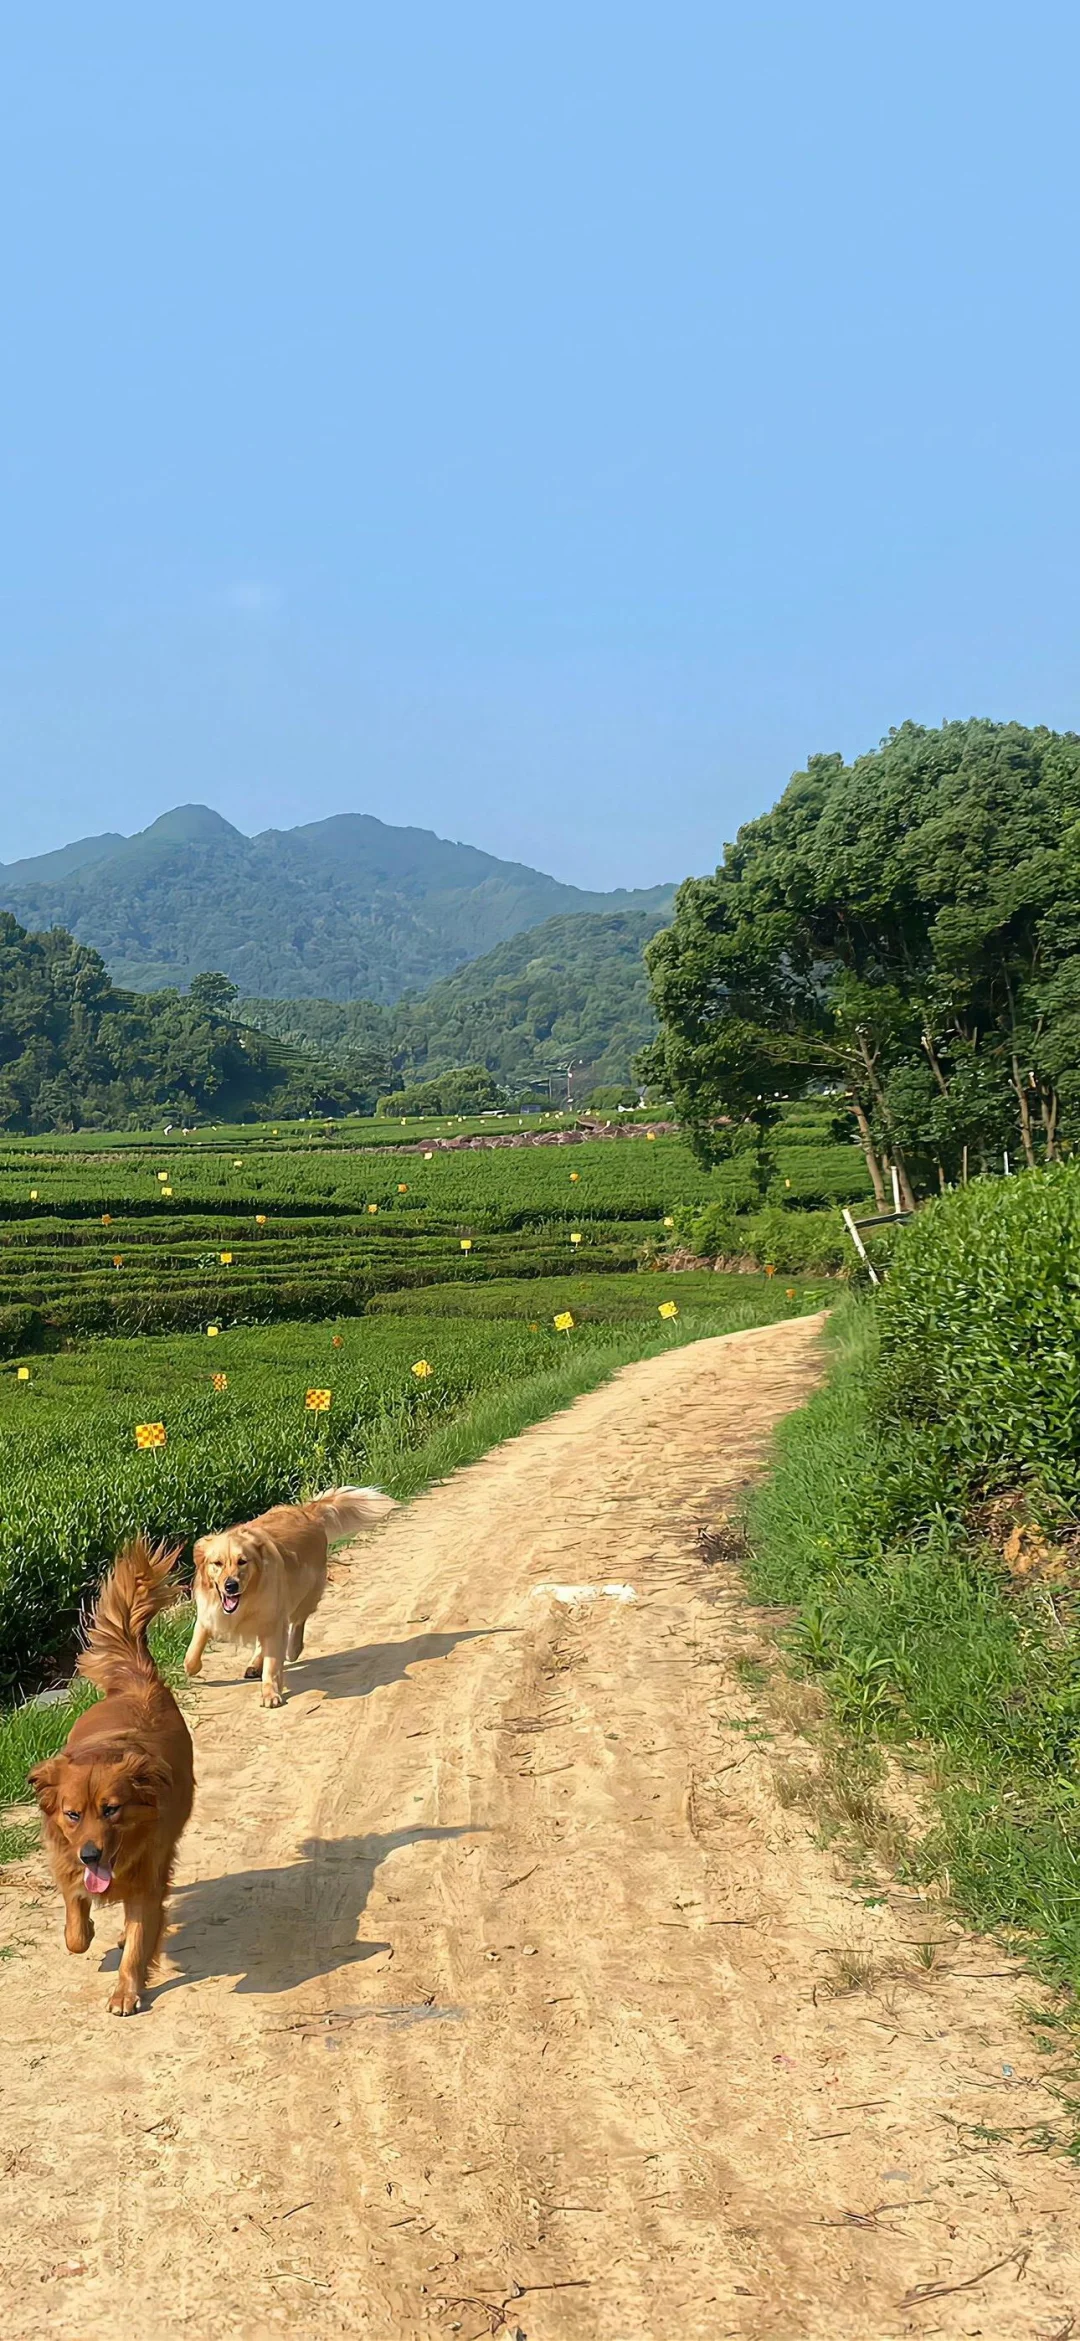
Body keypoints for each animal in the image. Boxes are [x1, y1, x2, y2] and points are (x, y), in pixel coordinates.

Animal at [29, 1535, 193, 2013]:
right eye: (72, 1814)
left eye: (112, 1809)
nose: (90, 1855)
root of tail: (138, 1679)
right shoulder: (66, 1861)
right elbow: (74, 1928)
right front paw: (84, 1932)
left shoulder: (148, 1881)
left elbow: (140, 1941)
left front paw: (126, 1990)